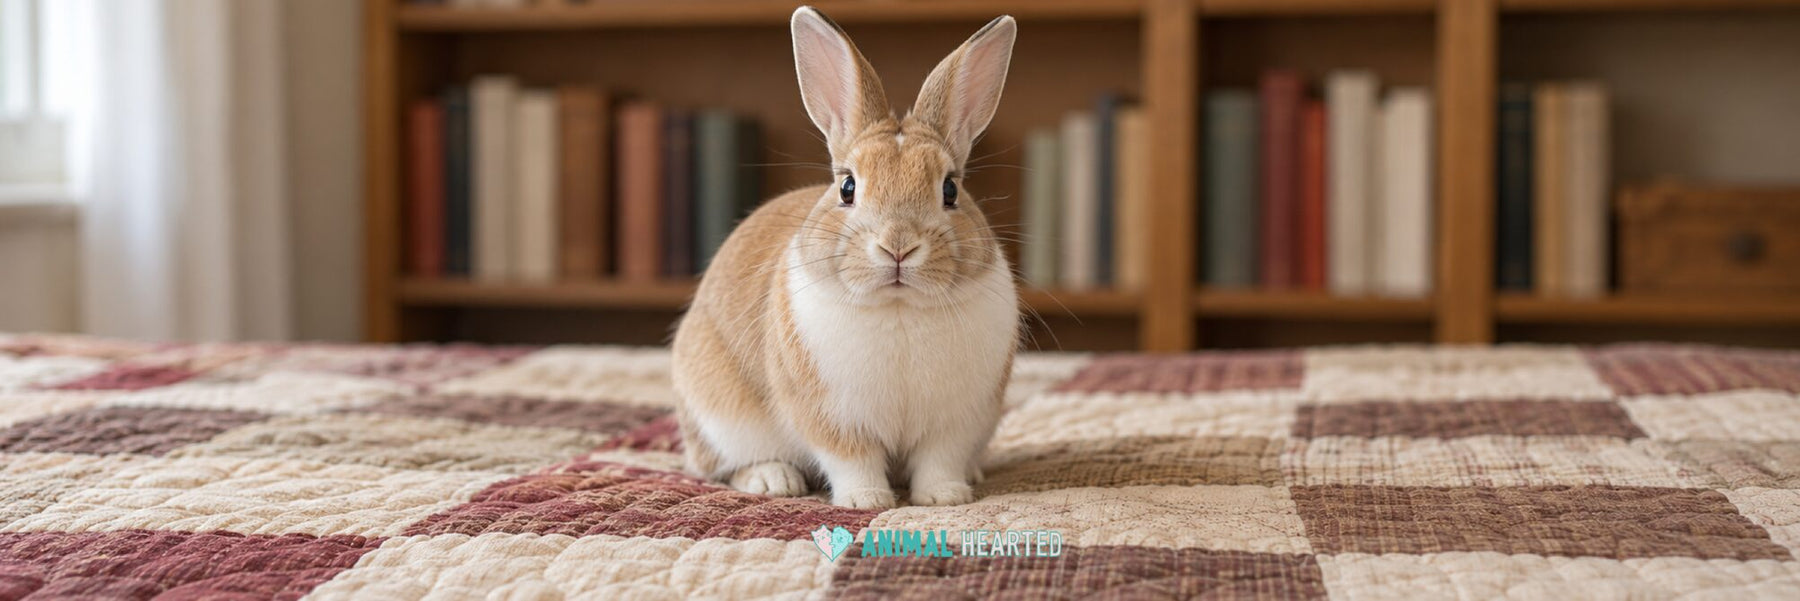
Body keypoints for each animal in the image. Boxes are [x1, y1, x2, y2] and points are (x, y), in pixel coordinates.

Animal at [670, 6, 1020, 509]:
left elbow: (939, 460)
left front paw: (945, 498)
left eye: (951, 189)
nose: (898, 246)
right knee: (719, 466)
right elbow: (852, 459)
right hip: (720, 419)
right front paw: (867, 502)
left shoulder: (955, 422)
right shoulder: (832, 418)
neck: (898, 306)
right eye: (848, 187)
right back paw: (774, 480)